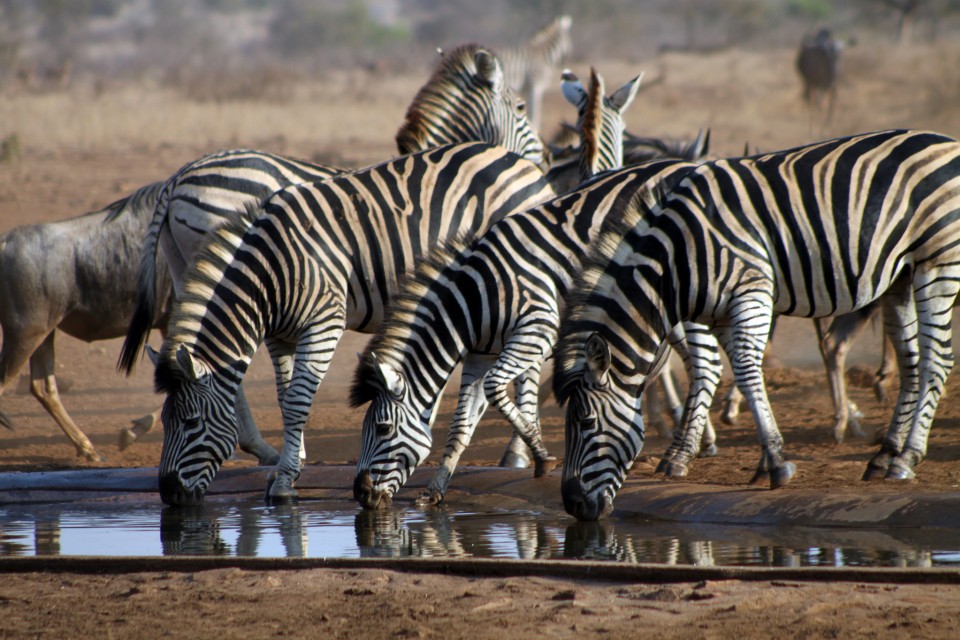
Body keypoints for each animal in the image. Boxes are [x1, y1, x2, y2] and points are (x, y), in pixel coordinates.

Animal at [153, 141, 555, 507]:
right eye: (166, 421)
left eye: (190, 422)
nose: (169, 494)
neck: (272, 272)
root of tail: (522, 164)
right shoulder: (281, 336)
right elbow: (286, 400)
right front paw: (288, 466)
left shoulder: (324, 324)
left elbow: (298, 401)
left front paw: (284, 481)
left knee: (529, 364)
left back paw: (521, 452)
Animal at [349, 68, 711, 509]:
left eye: (383, 429)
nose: (360, 494)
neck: (474, 300)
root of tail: (686, 164)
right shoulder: (480, 354)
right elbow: (462, 424)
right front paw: (436, 490)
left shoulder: (535, 332)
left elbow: (497, 390)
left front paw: (538, 456)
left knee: (708, 363)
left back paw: (687, 458)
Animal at [553, 129, 960, 521]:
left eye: (586, 422)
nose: (573, 505)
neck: (677, 259)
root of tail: (945, 141)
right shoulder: (721, 314)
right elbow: (743, 375)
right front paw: (764, 462)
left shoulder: (751, 293)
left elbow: (748, 373)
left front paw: (777, 465)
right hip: (900, 278)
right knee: (910, 364)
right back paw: (884, 456)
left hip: (937, 263)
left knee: (936, 361)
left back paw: (906, 459)